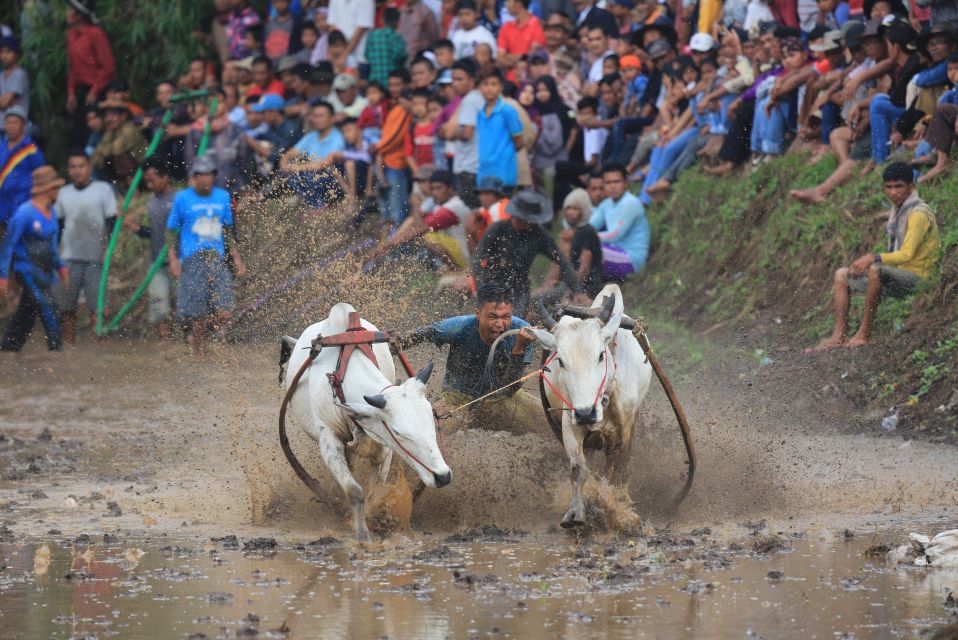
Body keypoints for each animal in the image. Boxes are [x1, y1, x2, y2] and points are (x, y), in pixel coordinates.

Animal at [284, 304, 452, 540]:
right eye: (398, 432)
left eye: (431, 421)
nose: (443, 476)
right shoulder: (329, 439)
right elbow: (355, 491)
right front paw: (363, 534)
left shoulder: (384, 447)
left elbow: (376, 492)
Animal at [528, 284, 656, 524]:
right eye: (560, 360)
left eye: (600, 355)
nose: (586, 413)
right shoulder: (570, 421)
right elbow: (578, 469)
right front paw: (576, 511)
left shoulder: (624, 428)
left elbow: (616, 468)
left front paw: (617, 505)